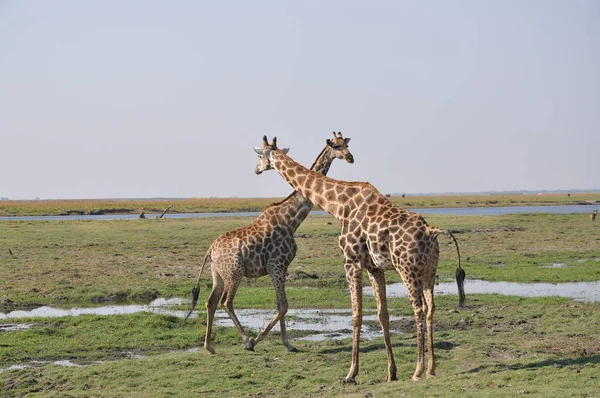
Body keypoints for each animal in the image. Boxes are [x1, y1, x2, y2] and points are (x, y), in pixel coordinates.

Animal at [183, 134, 352, 354]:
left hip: (218, 274)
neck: (291, 220)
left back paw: (209, 346)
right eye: (337, 146)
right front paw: (260, 340)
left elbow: (280, 304)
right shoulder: (275, 265)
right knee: (226, 302)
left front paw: (288, 343)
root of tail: (210, 250)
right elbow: (284, 305)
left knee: (210, 301)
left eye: (346, 144)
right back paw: (247, 341)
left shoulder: (281, 267)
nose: (350, 157)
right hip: (235, 272)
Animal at [253, 136, 464, 382]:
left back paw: (418, 370)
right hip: (430, 270)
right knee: (430, 308)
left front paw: (351, 373)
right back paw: (431, 368)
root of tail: (431, 232)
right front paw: (391, 372)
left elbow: (356, 315)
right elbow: (383, 314)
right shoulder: (374, 267)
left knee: (418, 309)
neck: (338, 206)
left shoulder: (351, 261)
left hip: (407, 269)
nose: (256, 169)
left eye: (260, 155)